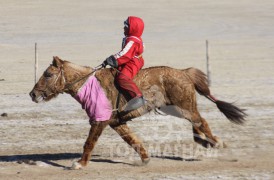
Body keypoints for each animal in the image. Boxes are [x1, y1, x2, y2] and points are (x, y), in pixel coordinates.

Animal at [29, 56, 246, 169]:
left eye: (47, 74)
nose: (33, 94)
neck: (90, 84)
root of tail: (184, 72)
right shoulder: (116, 123)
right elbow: (132, 140)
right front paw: (145, 159)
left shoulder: (99, 121)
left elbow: (89, 143)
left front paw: (80, 164)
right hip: (177, 108)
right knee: (197, 122)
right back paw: (206, 141)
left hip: (183, 106)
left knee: (201, 121)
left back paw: (216, 142)